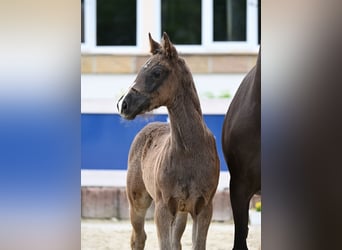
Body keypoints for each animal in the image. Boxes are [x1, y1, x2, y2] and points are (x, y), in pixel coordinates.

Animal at [117, 32, 219, 249]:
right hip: (137, 201)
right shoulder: (162, 208)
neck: (189, 151)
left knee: (175, 241)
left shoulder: (204, 208)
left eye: (157, 72)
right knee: (138, 238)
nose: (123, 104)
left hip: (180, 213)